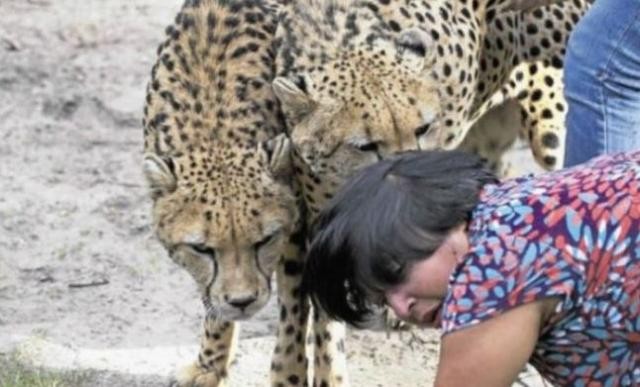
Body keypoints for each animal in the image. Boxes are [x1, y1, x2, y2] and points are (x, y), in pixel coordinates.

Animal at [142, 1, 310, 386]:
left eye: (264, 240)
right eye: (202, 249)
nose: (243, 301)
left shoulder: (300, 228)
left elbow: (296, 312)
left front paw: (290, 373)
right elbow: (212, 296)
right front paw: (210, 364)